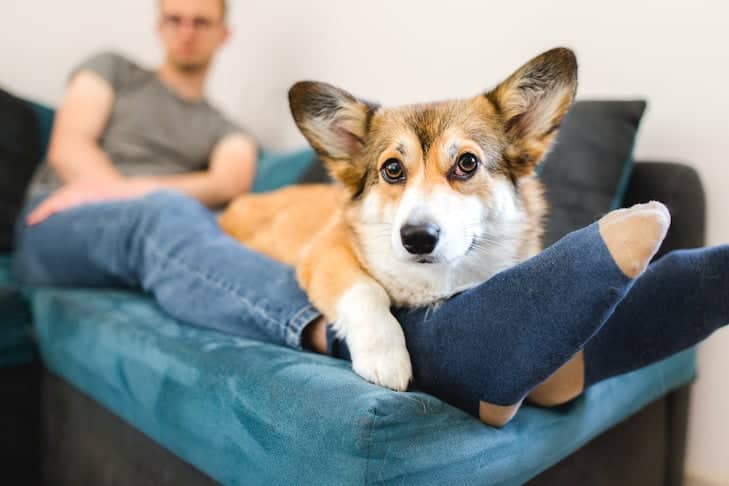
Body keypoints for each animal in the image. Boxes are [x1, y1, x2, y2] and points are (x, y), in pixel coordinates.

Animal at [219, 47, 576, 392]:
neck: (433, 279)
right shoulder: (326, 252)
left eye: (467, 163)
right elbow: (365, 290)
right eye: (392, 169)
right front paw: (385, 358)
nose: (417, 237)